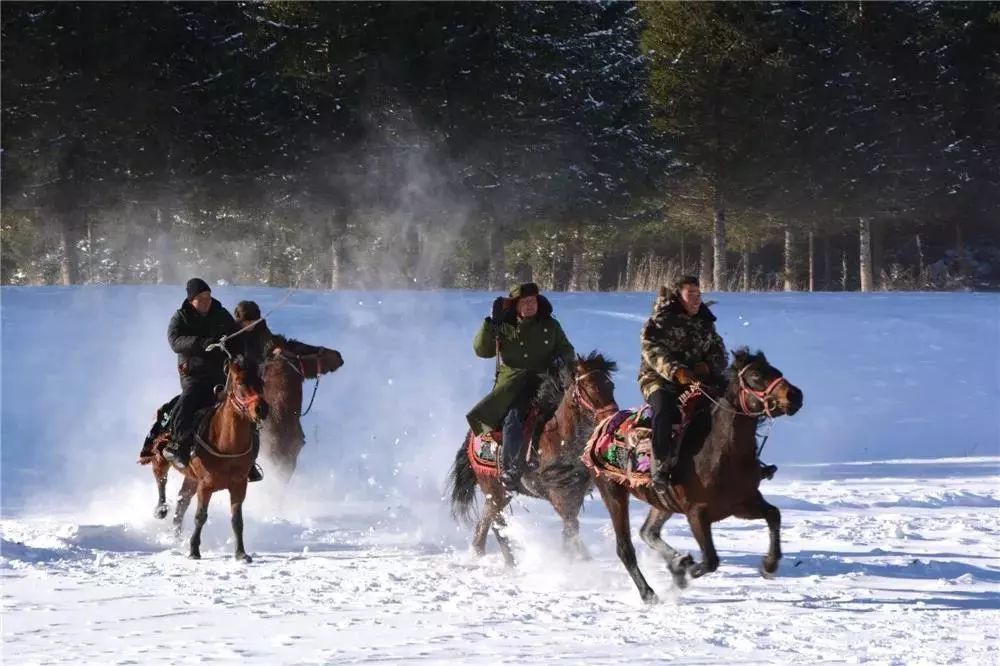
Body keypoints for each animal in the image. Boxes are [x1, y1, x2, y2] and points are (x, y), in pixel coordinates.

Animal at [141, 348, 268, 560]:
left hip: (191, 478)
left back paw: (176, 535)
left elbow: (237, 519)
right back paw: (161, 510)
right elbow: (200, 516)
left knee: (182, 501)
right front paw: (194, 550)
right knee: (161, 481)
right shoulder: (206, 485)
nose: (261, 409)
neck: (226, 443)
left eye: (261, 382)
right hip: (160, 460)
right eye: (240, 382)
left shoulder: (239, 485)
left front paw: (241, 554)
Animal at [446, 350, 616, 564]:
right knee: (495, 524)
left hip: (500, 493)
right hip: (494, 489)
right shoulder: (559, 496)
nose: (612, 416)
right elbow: (571, 531)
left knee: (486, 525)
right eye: (590, 388)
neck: (558, 438)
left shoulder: (575, 495)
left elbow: (570, 532)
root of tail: (471, 438)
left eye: (611, 386)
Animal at [556, 348, 804, 600]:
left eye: (776, 370)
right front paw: (686, 572)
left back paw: (677, 563)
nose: (795, 396)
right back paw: (649, 592)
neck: (722, 453)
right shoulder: (697, 514)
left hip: (662, 502)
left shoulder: (742, 504)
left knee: (648, 532)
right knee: (625, 547)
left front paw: (769, 565)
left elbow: (774, 515)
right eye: (755, 375)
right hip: (613, 494)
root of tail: (602, 426)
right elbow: (711, 560)